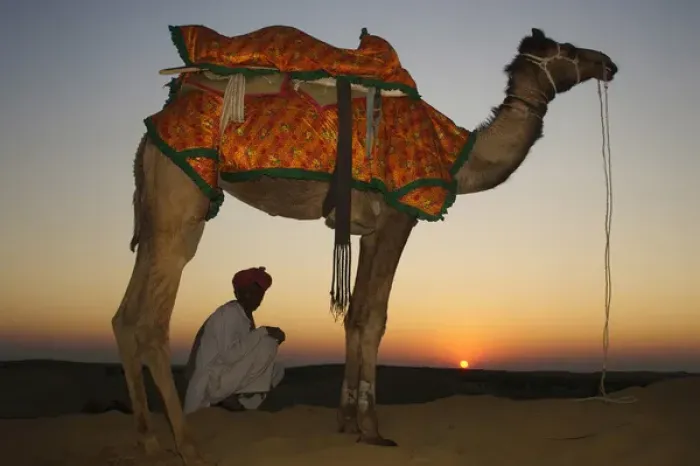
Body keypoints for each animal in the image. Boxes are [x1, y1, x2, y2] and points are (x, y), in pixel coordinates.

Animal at [112, 27, 617, 464]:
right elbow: (375, 319)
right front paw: (373, 429)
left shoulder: (369, 230)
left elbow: (355, 316)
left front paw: (348, 423)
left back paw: (148, 441)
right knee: (153, 320)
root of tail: (150, 131)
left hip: (158, 207)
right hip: (184, 199)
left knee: (125, 316)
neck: (457, 157)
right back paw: (188, 446)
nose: (608, 62)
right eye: (568, 48)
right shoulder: (399, 215)